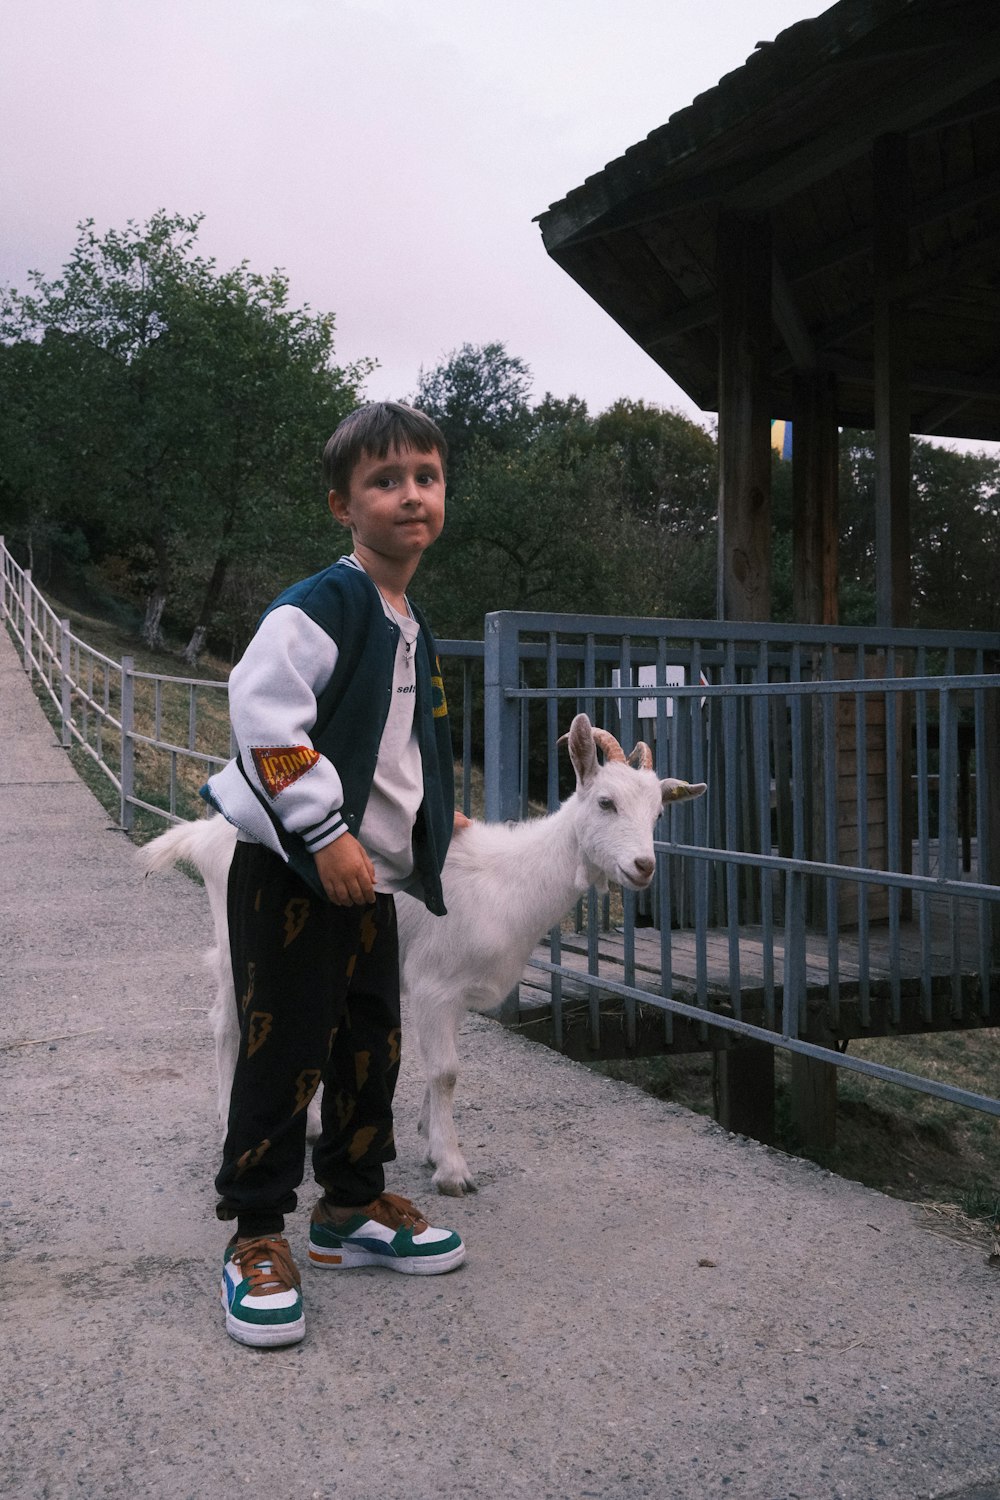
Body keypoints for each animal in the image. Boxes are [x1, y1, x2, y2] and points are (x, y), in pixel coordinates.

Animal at [138, 714, 704, 1194]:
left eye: (657, 812)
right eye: (606, 802)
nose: (643, 866)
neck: (512, 880)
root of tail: (206, 832)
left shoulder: (452, 993)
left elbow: (442, 1064)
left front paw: (431, 1142)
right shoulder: (436, 985)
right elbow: (446, 1071)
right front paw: (453, 1170)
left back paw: (313, 1123)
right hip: (239, 932)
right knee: (227, 1020)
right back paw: (226, 1117)